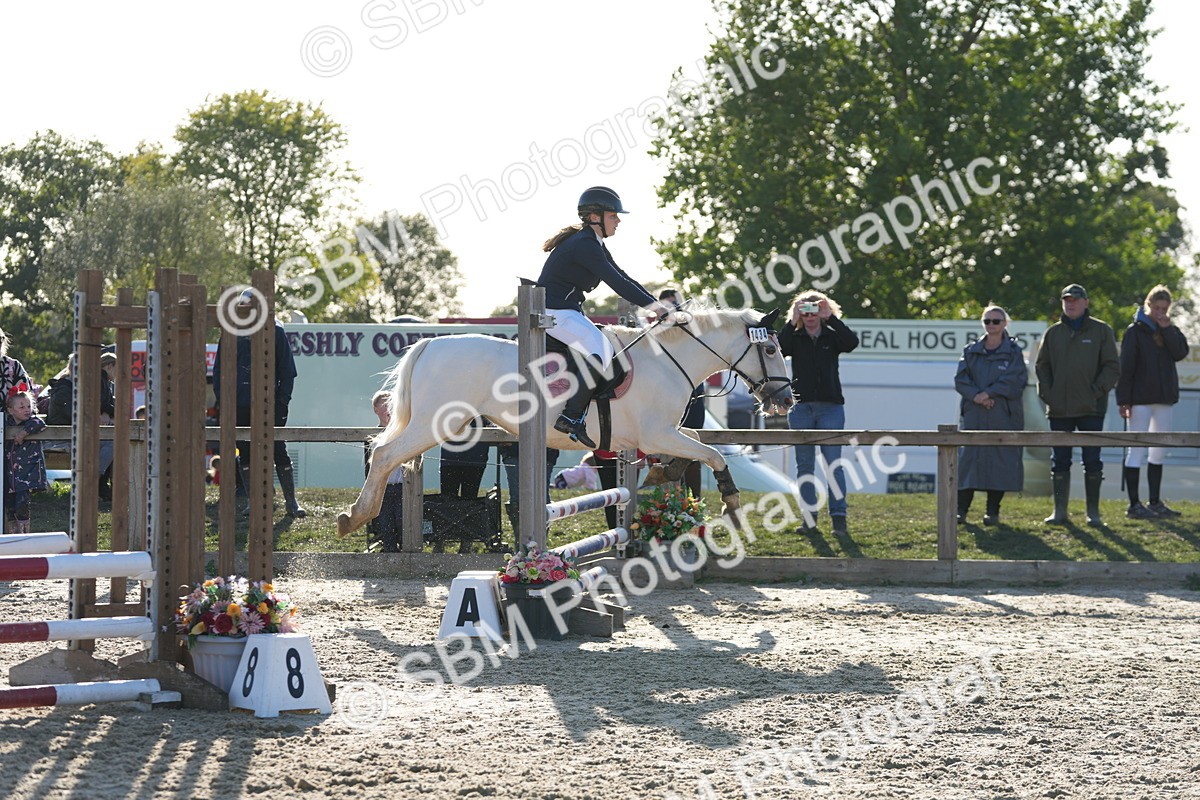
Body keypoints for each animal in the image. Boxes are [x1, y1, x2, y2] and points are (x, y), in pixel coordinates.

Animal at [336, 307, 794, 538]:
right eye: (770, 349)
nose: (786, 401)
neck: (669, 360)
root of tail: (430, 344)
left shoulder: (661, 434)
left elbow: (697, 441)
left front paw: (666, 471)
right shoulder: (656, 433)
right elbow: (713, 453)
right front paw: (732, 501)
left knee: (388, 456)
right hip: (434, 424)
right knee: (385, 454)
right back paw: (356, 516)